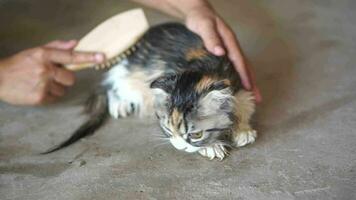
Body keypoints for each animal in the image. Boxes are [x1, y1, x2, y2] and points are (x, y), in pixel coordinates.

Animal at [44, 22, 256, 160]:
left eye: (195, 135)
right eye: (168, 130)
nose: (180, 147)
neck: (202, 68)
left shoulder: (235, 82)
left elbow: (244, 104)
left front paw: (243, 130)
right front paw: (213, 146)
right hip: (135, 78)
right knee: (113, 85)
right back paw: (119, 104)